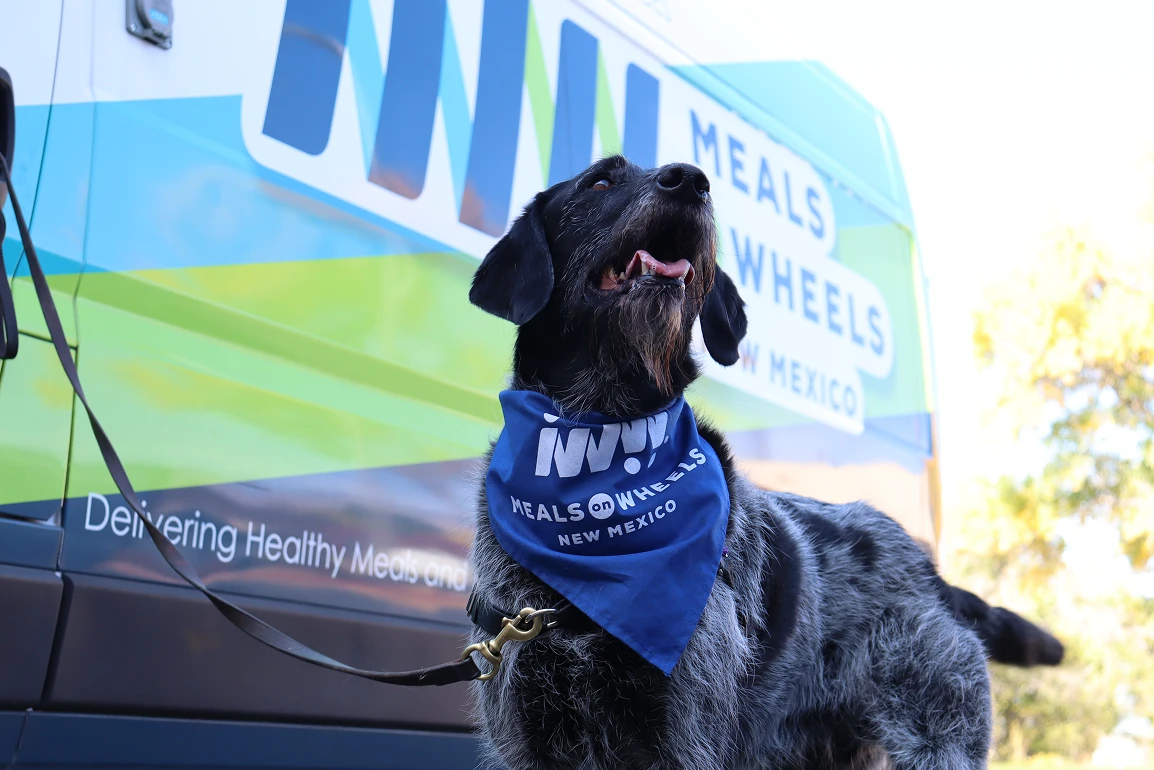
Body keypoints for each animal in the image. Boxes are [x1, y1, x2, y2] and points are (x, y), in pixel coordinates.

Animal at [464, 156, 1064, 770]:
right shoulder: (526, 734)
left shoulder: (681, 738)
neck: (598, 444)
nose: (691, 179)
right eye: (600, 182)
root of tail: (934, 577)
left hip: (937, 735)